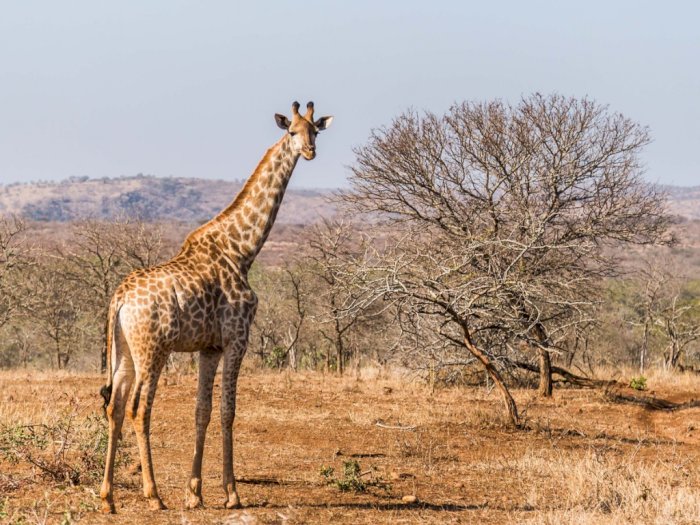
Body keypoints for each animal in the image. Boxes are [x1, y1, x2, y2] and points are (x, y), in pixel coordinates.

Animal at [98, 100, 334, 510]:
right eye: (292, 131)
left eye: (315, 130)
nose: (309, 151)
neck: (243, 250)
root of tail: (120, 298)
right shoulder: (238, 337)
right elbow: (228, 411)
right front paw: (231, 493)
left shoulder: (208, 347)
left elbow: (202, 411)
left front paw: (194, 493)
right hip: (153, 350)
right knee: (138, 409)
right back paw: (154, 495)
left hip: (123, 352)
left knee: (114, 407)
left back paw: (108, 498)